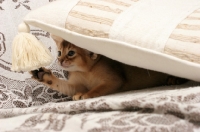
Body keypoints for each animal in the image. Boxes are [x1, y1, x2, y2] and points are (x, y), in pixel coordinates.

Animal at [30, 34, 188, 100]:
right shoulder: (76, 85)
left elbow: (97, 88)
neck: (87, 72)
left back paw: (175, 79)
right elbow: (62, 85)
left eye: (71, 53)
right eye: (59, 53)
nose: (60, 60)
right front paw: (43, 75)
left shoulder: (114, 80)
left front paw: (86, 95)